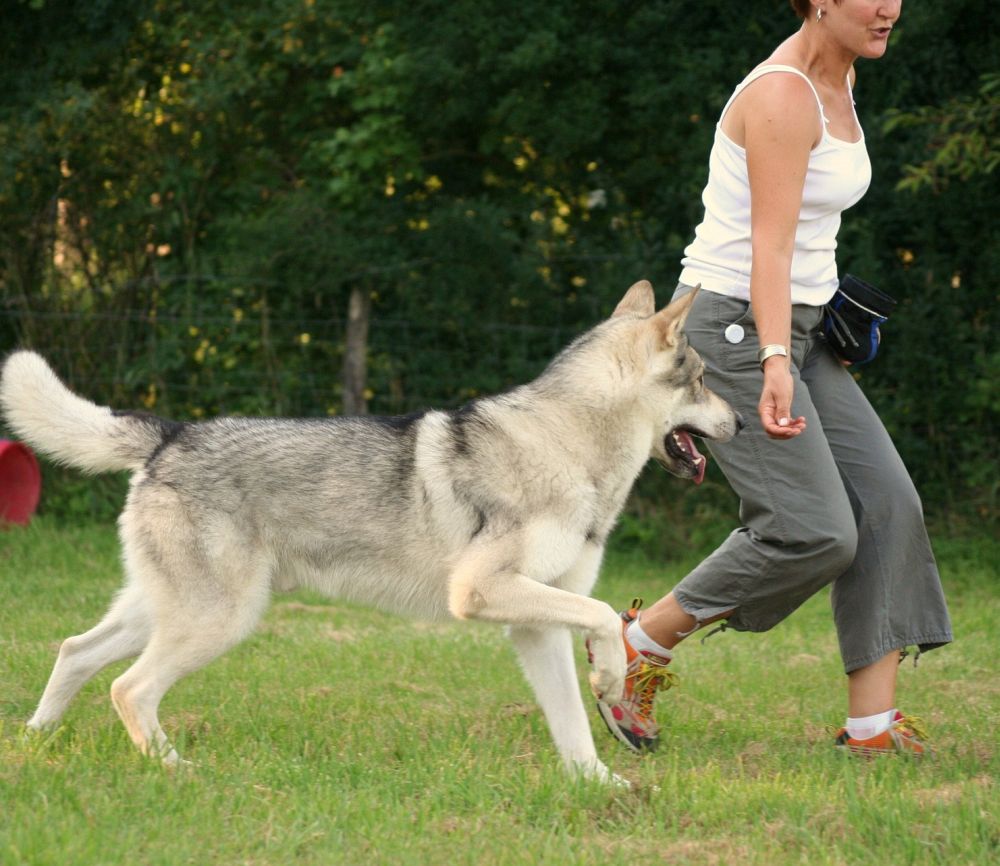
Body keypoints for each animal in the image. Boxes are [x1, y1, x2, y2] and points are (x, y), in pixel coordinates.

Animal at [1, 282, 744, 776]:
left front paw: (602, 785)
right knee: (128, 689)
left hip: (161, 613)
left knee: (75, 652)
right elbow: (602, 617)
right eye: (704, 381)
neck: (570, 448)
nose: (743, 422)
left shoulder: (533, 625)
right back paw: (176, 770)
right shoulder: (486, 592)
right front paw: (613, 682)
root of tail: (170, 433)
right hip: (217, 621)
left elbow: (573, 727)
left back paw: (33, 746)